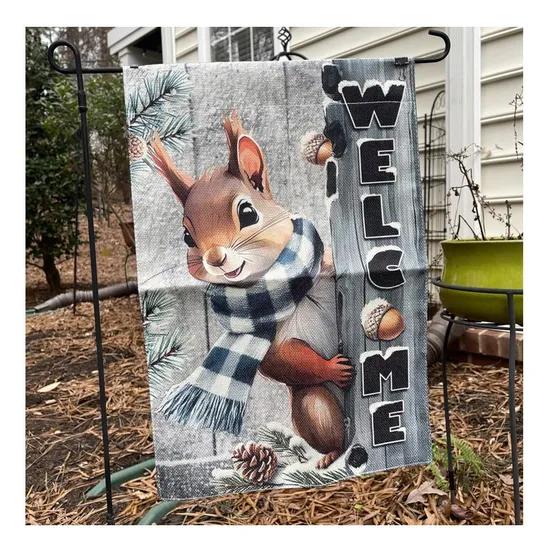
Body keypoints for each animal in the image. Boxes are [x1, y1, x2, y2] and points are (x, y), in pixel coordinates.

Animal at [148, 111, 353, 469]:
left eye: (248, 212)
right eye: (187, 237)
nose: (214, 258)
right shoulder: (274, 343)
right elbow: (284, 361)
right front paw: (331, 367)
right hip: (312, 403)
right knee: (331, 433)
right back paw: (330, 455)